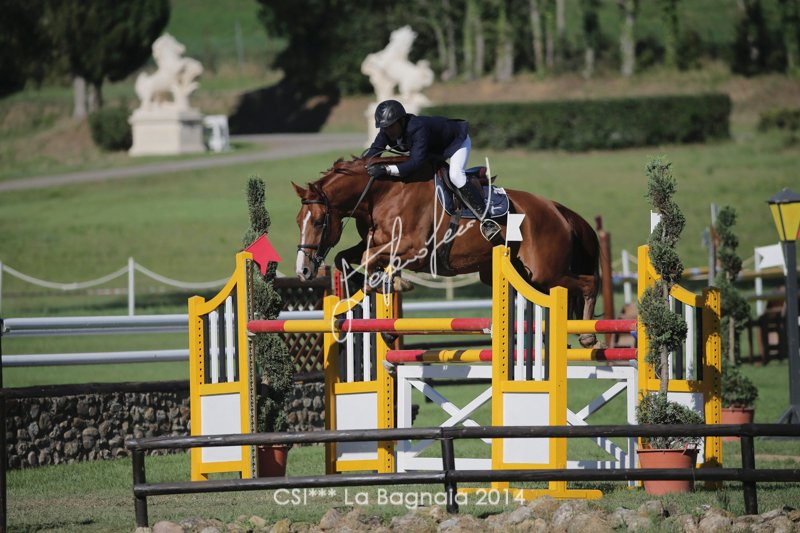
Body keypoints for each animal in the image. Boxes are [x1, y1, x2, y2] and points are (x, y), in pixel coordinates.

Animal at [292, 156, 601, 347]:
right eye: (298, 222)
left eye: (318, 222)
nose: (303, 270)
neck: (382, 193)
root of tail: (559, 210)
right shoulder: (376, 243)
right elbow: (345, 257)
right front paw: (367, 291)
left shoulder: (414, 248)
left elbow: (369, 260)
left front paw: (393, 284)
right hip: (522, 276)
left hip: (546, 272)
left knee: (589, 283)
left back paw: (588, 336)